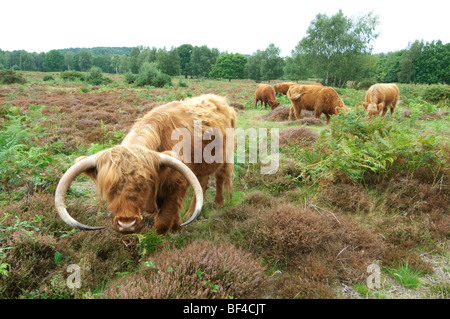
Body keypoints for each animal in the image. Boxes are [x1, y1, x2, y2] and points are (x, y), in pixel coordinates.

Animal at [53, 94, 236, 236]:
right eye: (109, 188)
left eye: (144, 185)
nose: (126, 224)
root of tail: (219, 99)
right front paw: (177, 226)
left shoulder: (175, 185)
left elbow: (162, 222)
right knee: (203, 182)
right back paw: (190, 212)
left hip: (225, 157)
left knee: (219, 178)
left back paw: (218, 204)